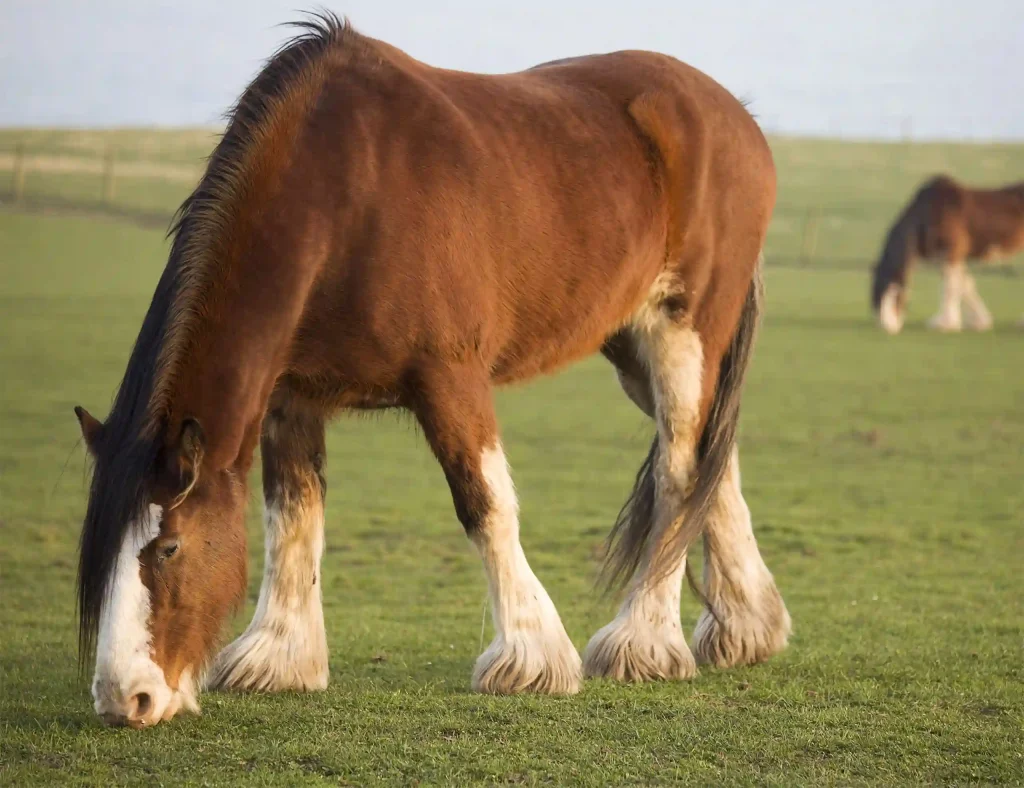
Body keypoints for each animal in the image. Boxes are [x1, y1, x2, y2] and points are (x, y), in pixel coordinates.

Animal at [74, 12, 790, 728]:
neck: (343, 197)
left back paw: (644, 640)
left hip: (682, 331)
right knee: (711, 457)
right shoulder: (292, 397)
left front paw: (531, 658)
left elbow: (485, 504)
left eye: (168, 547)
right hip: (633, 346)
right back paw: (746, 627)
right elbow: (292, 518)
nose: (125, 698)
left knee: (680, 469)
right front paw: (280, 658)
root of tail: (738, 117)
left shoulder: (450, 378)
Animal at [872, 173, 1024, 333]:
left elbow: (951, 287)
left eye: (893, 291)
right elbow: (966, 285)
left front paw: (945, 324)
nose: (887, 328)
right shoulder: (947, 257)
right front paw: (980, 322)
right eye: (875, 296)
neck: (927, 213)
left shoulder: (952, 252)